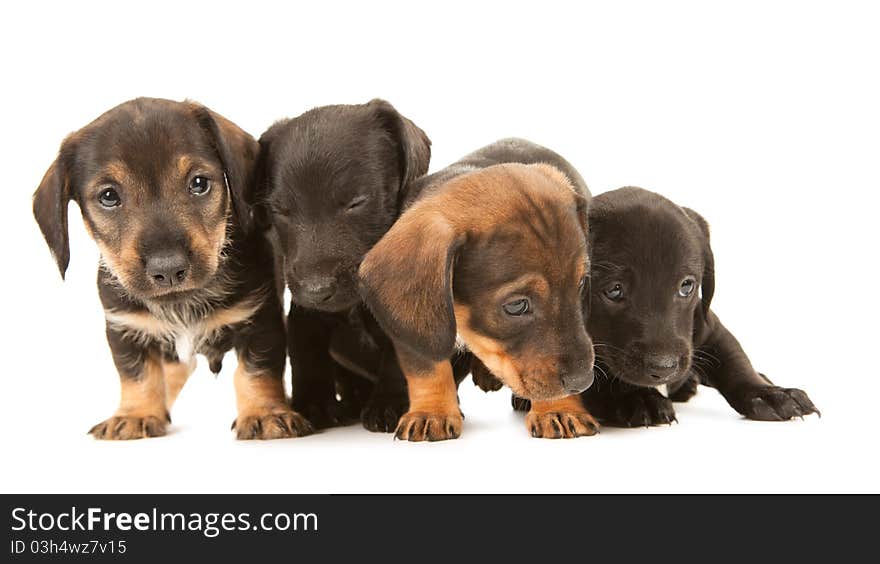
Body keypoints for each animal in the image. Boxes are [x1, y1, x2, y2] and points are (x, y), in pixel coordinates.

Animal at [31, 97, 312, 440]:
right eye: (109, 196)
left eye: (199, 183)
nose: (168, 269)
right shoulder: (125, 329)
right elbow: (138, 375)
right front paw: (136, 414)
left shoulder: (260, 320)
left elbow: (256, 372)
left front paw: (265, 412)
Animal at [258, 100, 444, 432]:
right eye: (280, 210)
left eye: (356, 202)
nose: (316, 289)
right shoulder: (305, 314)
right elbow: (307, 354)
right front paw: (313, 404)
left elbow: (399, 360)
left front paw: (389, 403)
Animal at [358, 138, 600, 440]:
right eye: (516, 306)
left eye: (580, 284)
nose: (584, 381)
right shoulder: (414, 332)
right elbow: (428, 370)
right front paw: (432, 413)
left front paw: (559, 408)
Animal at [506, 187, 820, 426]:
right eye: (614, 290)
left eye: (686, 286)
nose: (665, 367)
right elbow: (594, 380)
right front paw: (635, 398)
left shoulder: (706, 325)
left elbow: (735, 361)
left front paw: (769, 394)